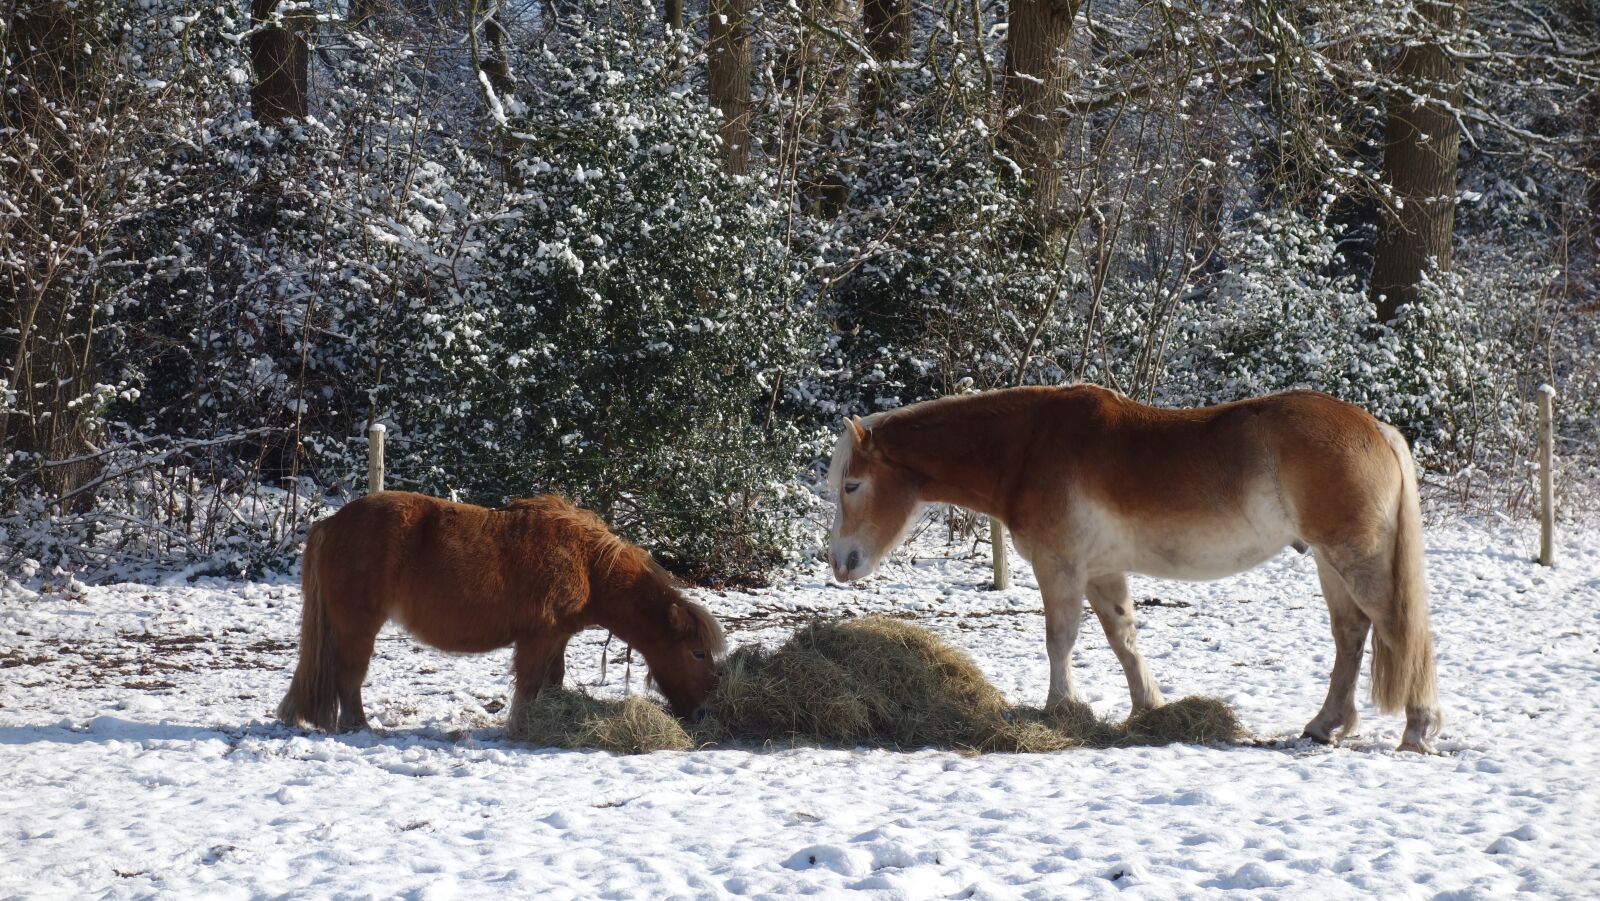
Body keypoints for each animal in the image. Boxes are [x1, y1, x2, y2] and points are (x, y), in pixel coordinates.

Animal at [277, 491, 725, 732]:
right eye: (698, 653)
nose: (706, 710)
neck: (587, 564)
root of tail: (332, 523)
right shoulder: (538, 638)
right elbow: (528, 685)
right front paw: (521, 726)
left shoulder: (557, 639)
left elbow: (553, 681)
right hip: (358, 627)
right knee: (349, 676)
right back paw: (360, 726)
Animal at [826, 385, 1441, 753]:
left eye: (852, 485)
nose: (839, 563)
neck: (1027, 448)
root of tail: (1376, 429)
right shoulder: (1102, 573)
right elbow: (1124, 639)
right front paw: (1149, 707)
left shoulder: (1060, 567)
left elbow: (1059, 640)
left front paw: (1060, 709)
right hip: (1328, 564)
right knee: (1351, 635)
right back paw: (1325, 725)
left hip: (1353, 559)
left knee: (1396, 631)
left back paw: (1416, 730)